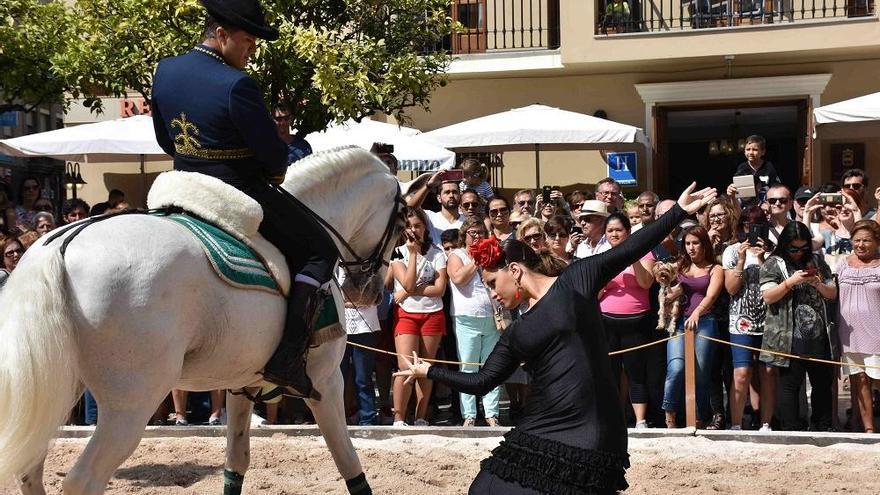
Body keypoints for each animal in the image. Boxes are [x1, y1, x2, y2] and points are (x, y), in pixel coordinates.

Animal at [0, 147, 418, 495]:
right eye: (400, 225)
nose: (367, 291)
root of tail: (63, 241)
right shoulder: (327, 381)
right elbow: (349, 463)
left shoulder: (243, 384)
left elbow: (236, 462)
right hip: (131, 404)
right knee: (82, 481)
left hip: (55, 390)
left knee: (29, 470)